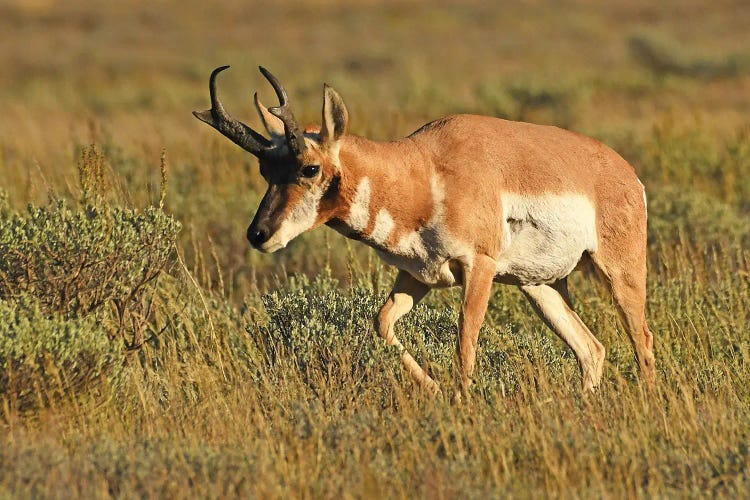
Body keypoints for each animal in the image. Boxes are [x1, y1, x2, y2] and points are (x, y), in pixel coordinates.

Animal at [195, 65, 656, 394]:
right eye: (265, 169)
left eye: (309, 168)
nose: (258, 235)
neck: (424, 169)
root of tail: (625, 171)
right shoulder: (416, 276)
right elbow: (382, 322)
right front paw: (433, 390)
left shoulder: (479, 268)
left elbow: (465, 340)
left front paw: (463, 401)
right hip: (539, 287)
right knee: (592, 349)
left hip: (619, 274)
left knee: (642, 340)